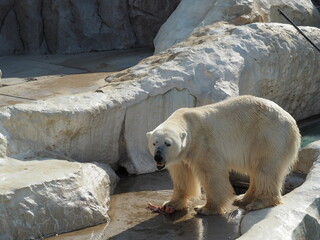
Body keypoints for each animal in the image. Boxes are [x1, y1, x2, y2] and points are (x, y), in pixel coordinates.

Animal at [146, 94, 302, 215]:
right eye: (154, 143)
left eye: (168, 143)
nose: (158, 157)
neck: (186, 122)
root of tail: (292, 122)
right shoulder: (181, 156)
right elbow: (182, 176)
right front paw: (170, 204)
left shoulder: (203, 144)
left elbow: (211, 173)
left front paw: (205, 208)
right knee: (256, 170)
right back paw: (242, 198)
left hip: (268, 136)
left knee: (265, 168)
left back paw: (259, 202)